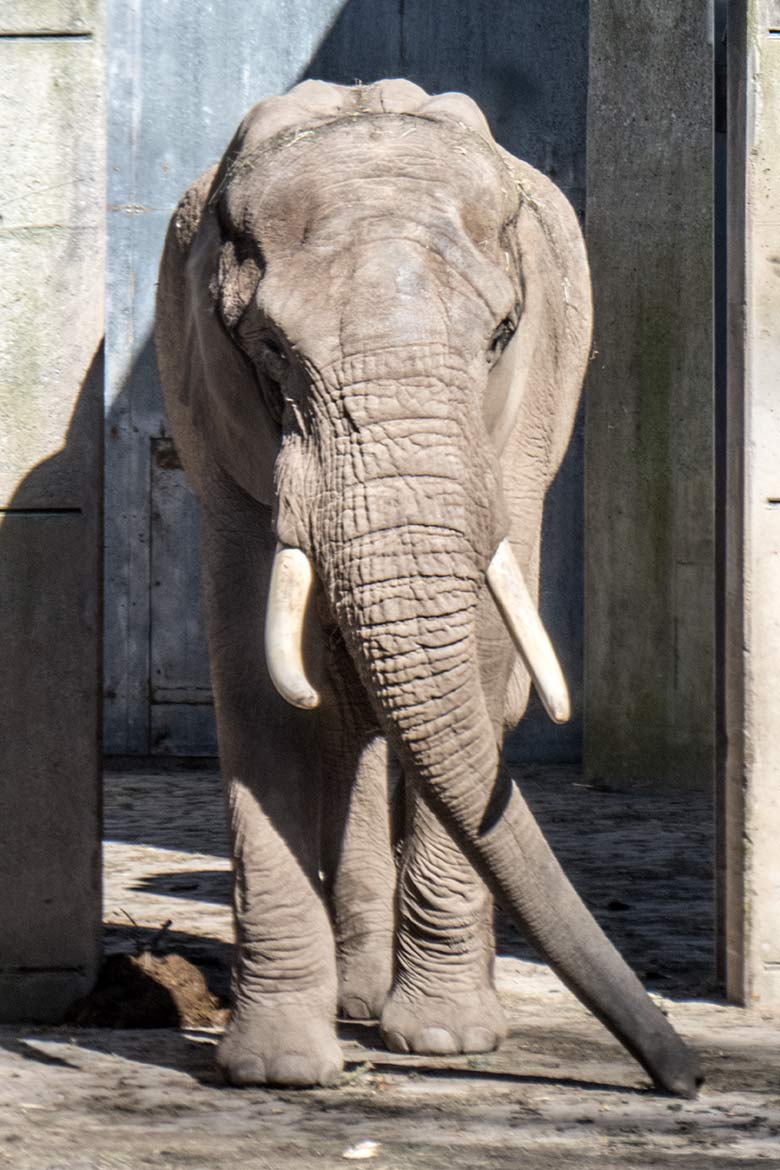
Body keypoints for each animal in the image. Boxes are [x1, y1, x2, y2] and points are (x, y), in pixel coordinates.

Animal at [156, 75, 701, 1095]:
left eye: (501, 336)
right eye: (271, 349)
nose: (682, 1076)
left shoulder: (519, 419)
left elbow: (484, 653)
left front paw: (447, 1040)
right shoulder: (212, 402)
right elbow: (251, 664)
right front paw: (280, 1070)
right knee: (342, 705)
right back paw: (359, 995)